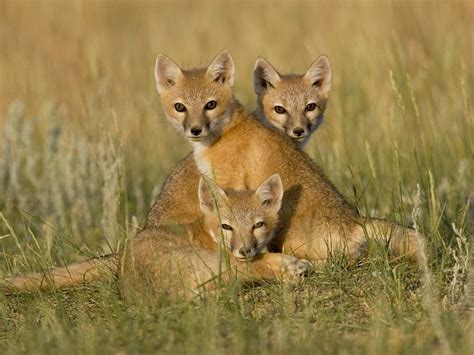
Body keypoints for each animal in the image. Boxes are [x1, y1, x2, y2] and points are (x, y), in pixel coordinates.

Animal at [1, 175, 310, 298]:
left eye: (258, 225)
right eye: (227, 227)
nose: (245, 250)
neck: (205, 231)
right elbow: (260, 263)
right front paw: (285, 264)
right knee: (253, 271)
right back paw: (290, 267)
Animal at [149, 50, 418, 262]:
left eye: (210, 105)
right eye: (180, 107)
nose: (195, 130)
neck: (224, 135)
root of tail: (355, 220)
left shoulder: (230, 185)